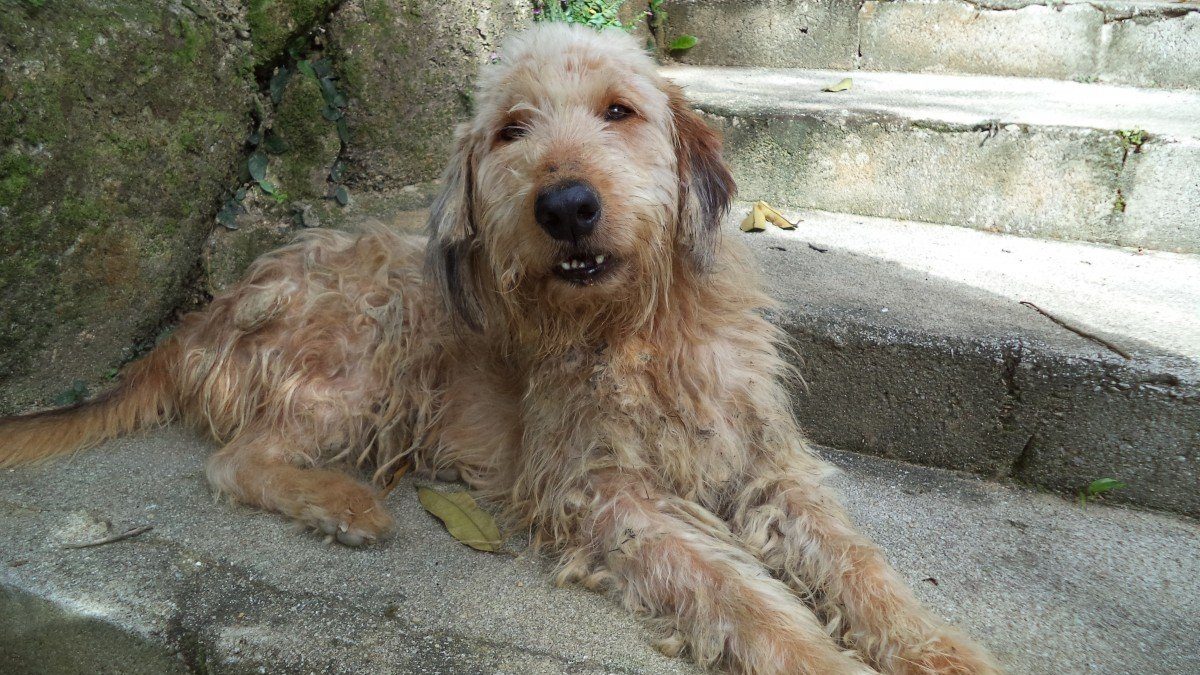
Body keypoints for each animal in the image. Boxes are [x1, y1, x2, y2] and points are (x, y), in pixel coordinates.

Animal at [0, 23, 998, 667]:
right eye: (514, 129)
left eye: (620, 111)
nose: (566, 206)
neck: (638, 328)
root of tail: (206, 312)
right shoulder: (607, 494)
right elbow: (743, 592)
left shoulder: (768, 465)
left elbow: (859, 562)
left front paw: (938, 649)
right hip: (374, 333)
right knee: (236, 459)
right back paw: (342, 503)